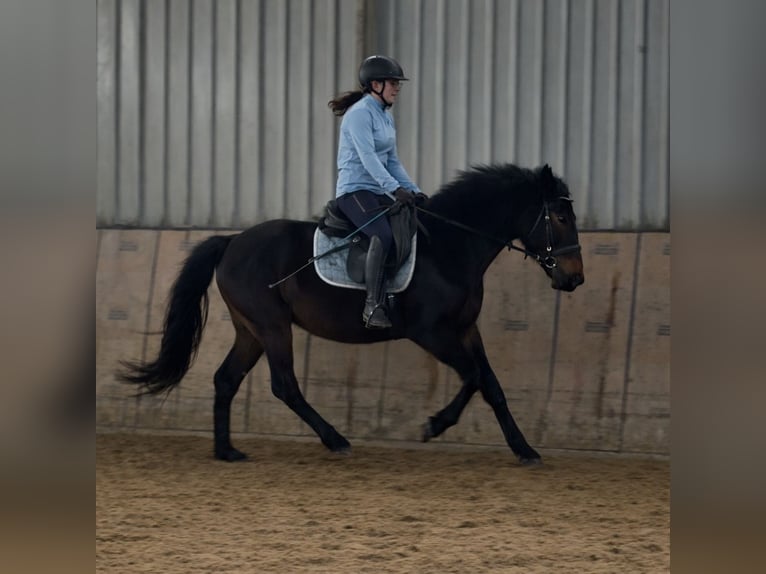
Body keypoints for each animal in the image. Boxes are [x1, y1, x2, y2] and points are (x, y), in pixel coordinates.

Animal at [118, 163, 584, 464]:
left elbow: (491, 385)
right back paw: (335, 439)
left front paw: (524, 449)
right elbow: (472, 377)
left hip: (250, 330)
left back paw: (227, 451)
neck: (451, 247)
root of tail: (231, 241)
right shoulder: (432, 333)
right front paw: (434, 425)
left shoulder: (467, 329)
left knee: (226, 379)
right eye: (560, 216)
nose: (575, 278)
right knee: (284, 385)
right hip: (272, 327)